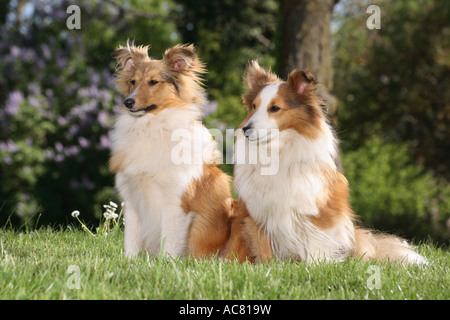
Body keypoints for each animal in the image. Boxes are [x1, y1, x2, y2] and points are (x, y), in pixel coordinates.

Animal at [234, 60, 428, 264]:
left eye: (274, 108)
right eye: (254, 106)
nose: (246, 129)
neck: (277, 150)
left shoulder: (320, 212)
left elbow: (316, 244)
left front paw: (313, 266)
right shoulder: (258, 213)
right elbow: (263, 246)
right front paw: (266, 265)